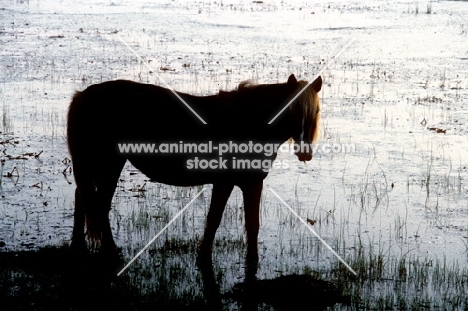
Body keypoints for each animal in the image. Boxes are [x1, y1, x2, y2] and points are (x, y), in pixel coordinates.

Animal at [66, 73, 322, 266]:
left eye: (316, 112)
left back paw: (78, 244)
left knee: (83, 197)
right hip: (109, 163)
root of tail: (86, 95)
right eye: (291, 110)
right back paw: (110, 251)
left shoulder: (246, 183)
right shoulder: (233, 182)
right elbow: (219, 220)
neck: (246, 120)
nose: (305, 152)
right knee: (99, 204)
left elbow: (245, 224)